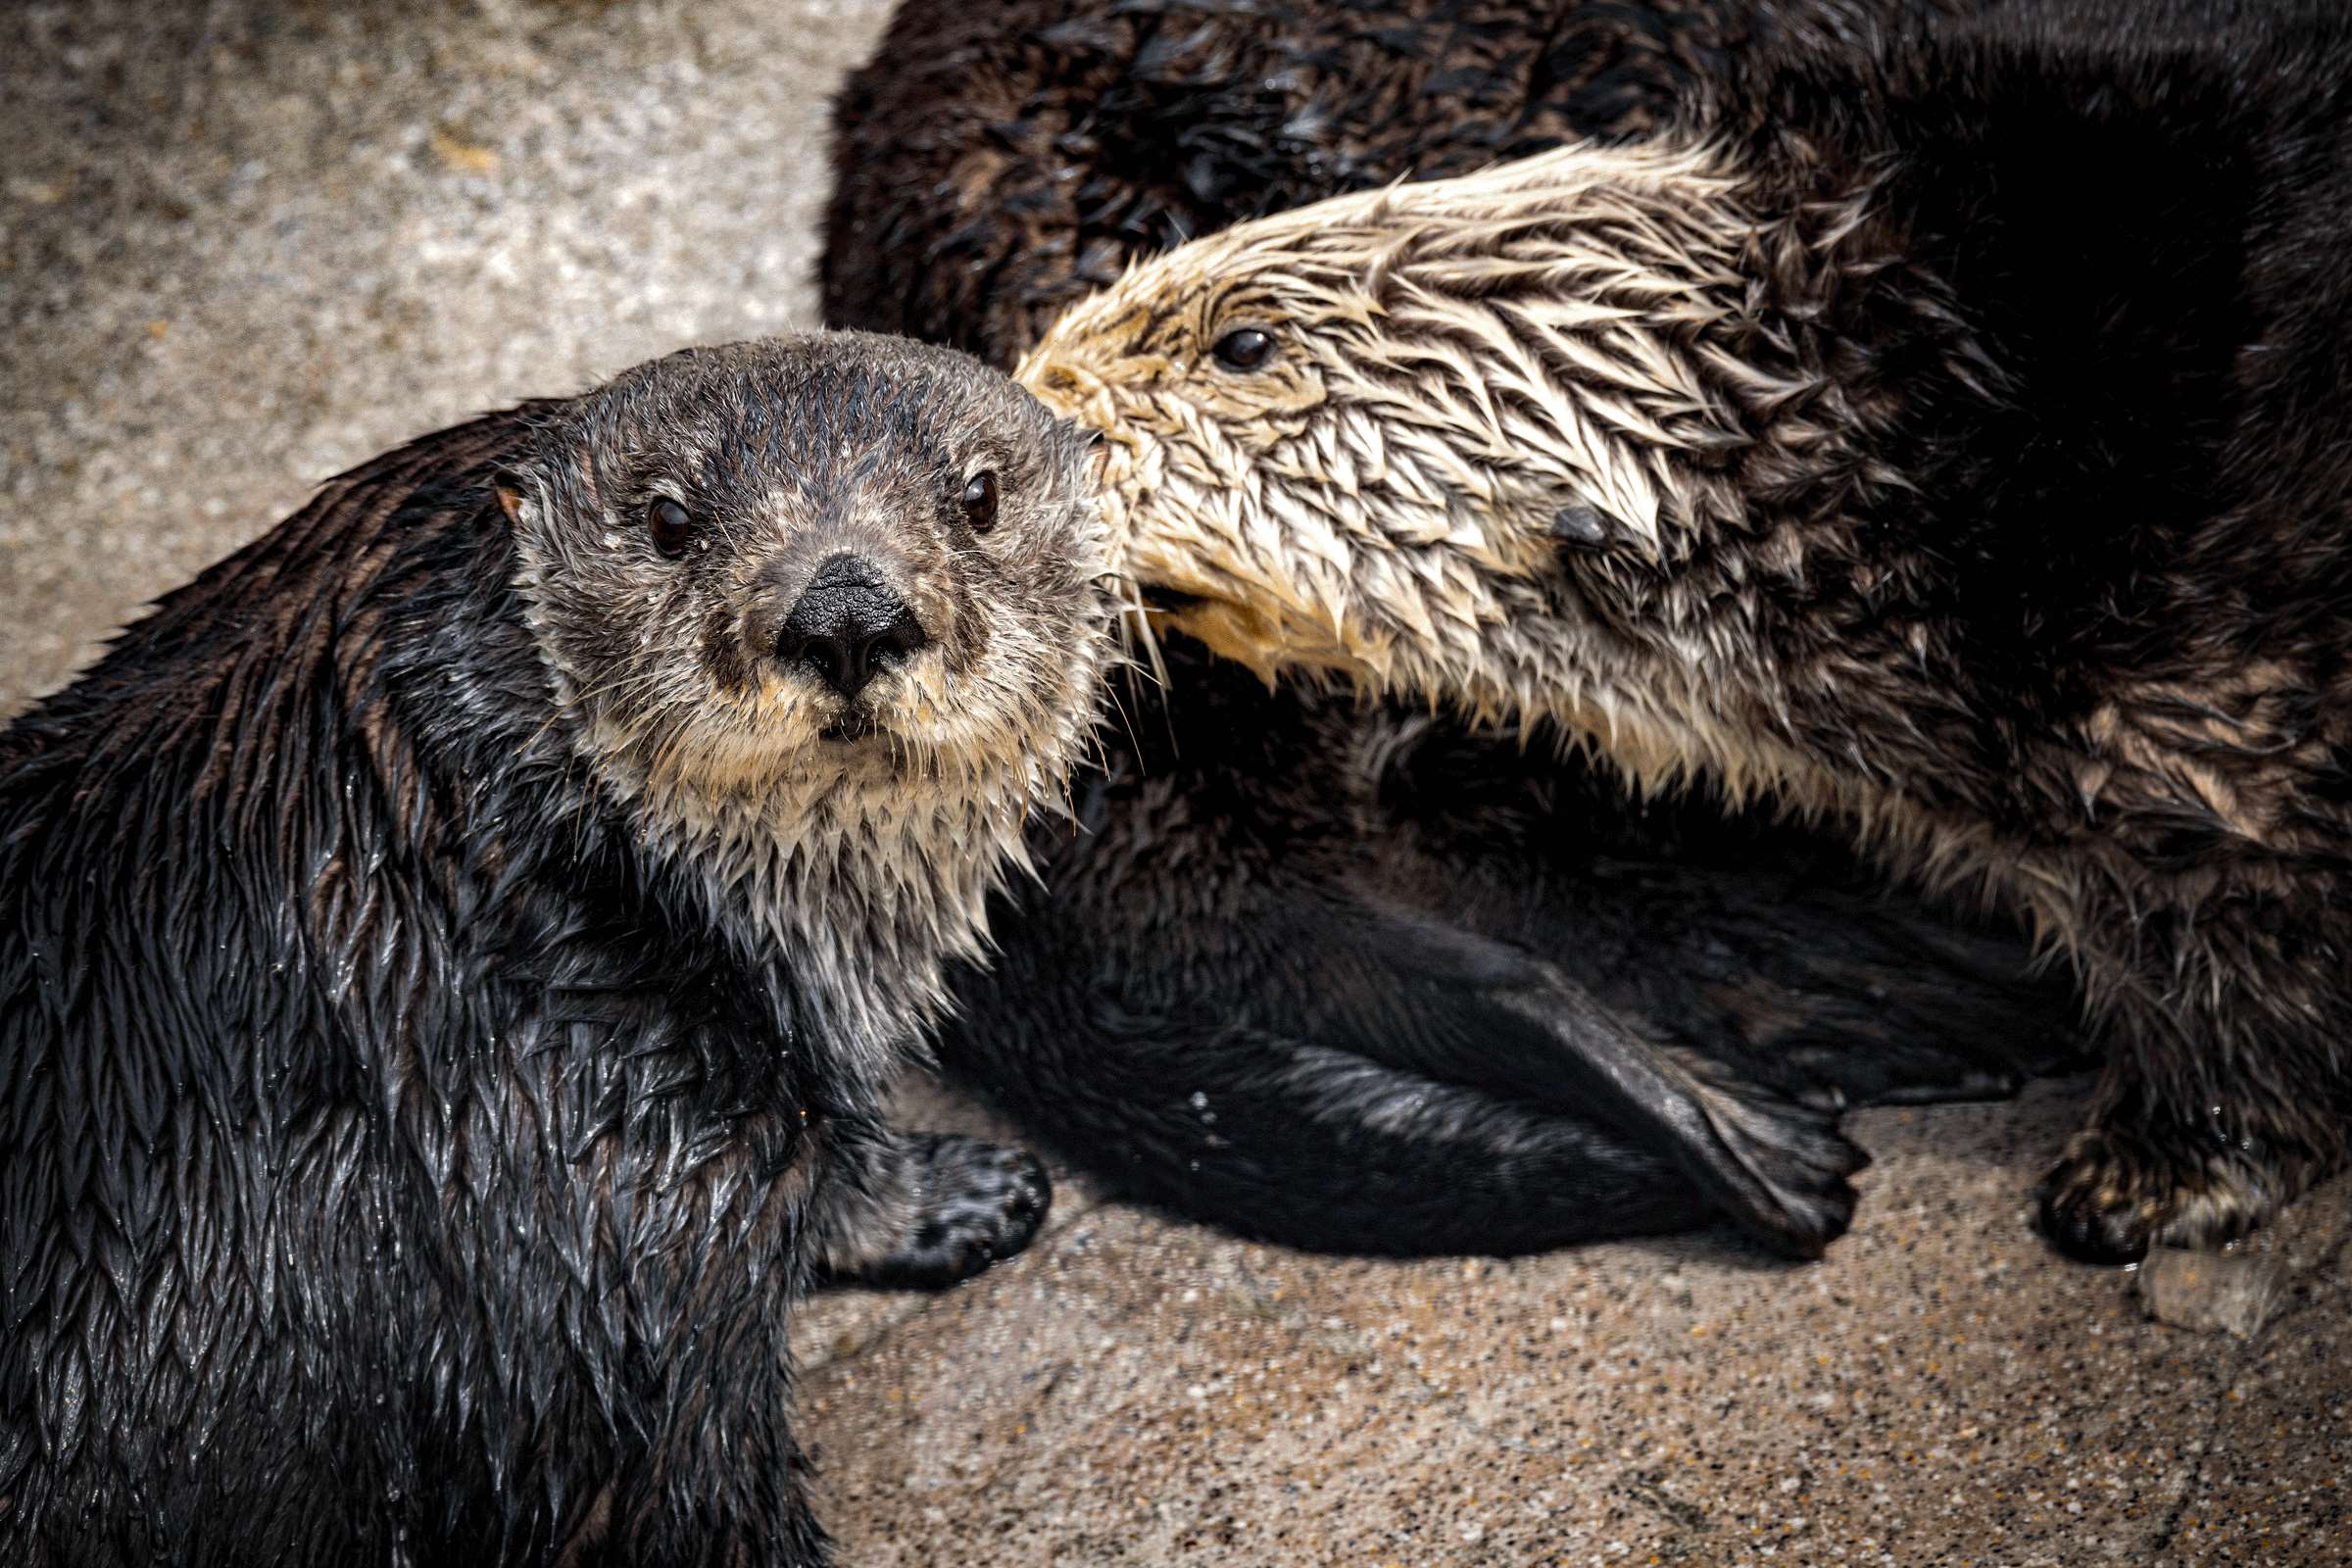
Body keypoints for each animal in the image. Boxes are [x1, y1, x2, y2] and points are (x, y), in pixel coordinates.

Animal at [0, 328, 1114, 1560]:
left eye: (980, 496)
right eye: (668, 518)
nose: (845, 610)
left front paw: (957, 1194)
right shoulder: (629, 1217)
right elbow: (687, 1501)